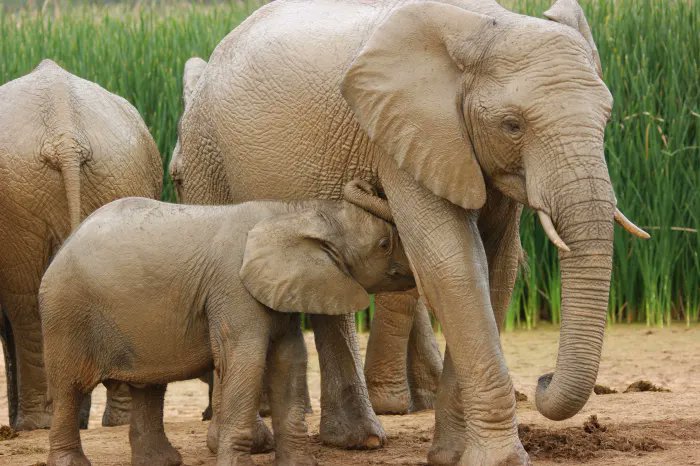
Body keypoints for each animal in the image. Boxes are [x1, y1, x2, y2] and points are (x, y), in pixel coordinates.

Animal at [0, 59, 163, 430]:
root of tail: (66, 135)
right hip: (115, 175)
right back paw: (115, 420)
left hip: (23, 195)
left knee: (24, 301)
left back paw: (35, 424)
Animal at [38, 181, 415, 466]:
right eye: (384, 244)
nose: (369, 182)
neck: (295, 213)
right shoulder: (234, 290)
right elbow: (245, 361)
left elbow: (289, 361)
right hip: (65, 314)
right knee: (70, 387)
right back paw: (73, 463)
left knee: (149, 387)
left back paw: (164, 462)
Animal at [172, 0, 649, 463]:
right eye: (512, 125)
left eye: (606, 117)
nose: (543, 380)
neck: (487, 26)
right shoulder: (403, 136)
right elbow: (453, 266)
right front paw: (499, 460)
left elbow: (498, 268)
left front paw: (451, 455)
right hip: (204, 153)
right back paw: (254, 442)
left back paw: (357, 440)